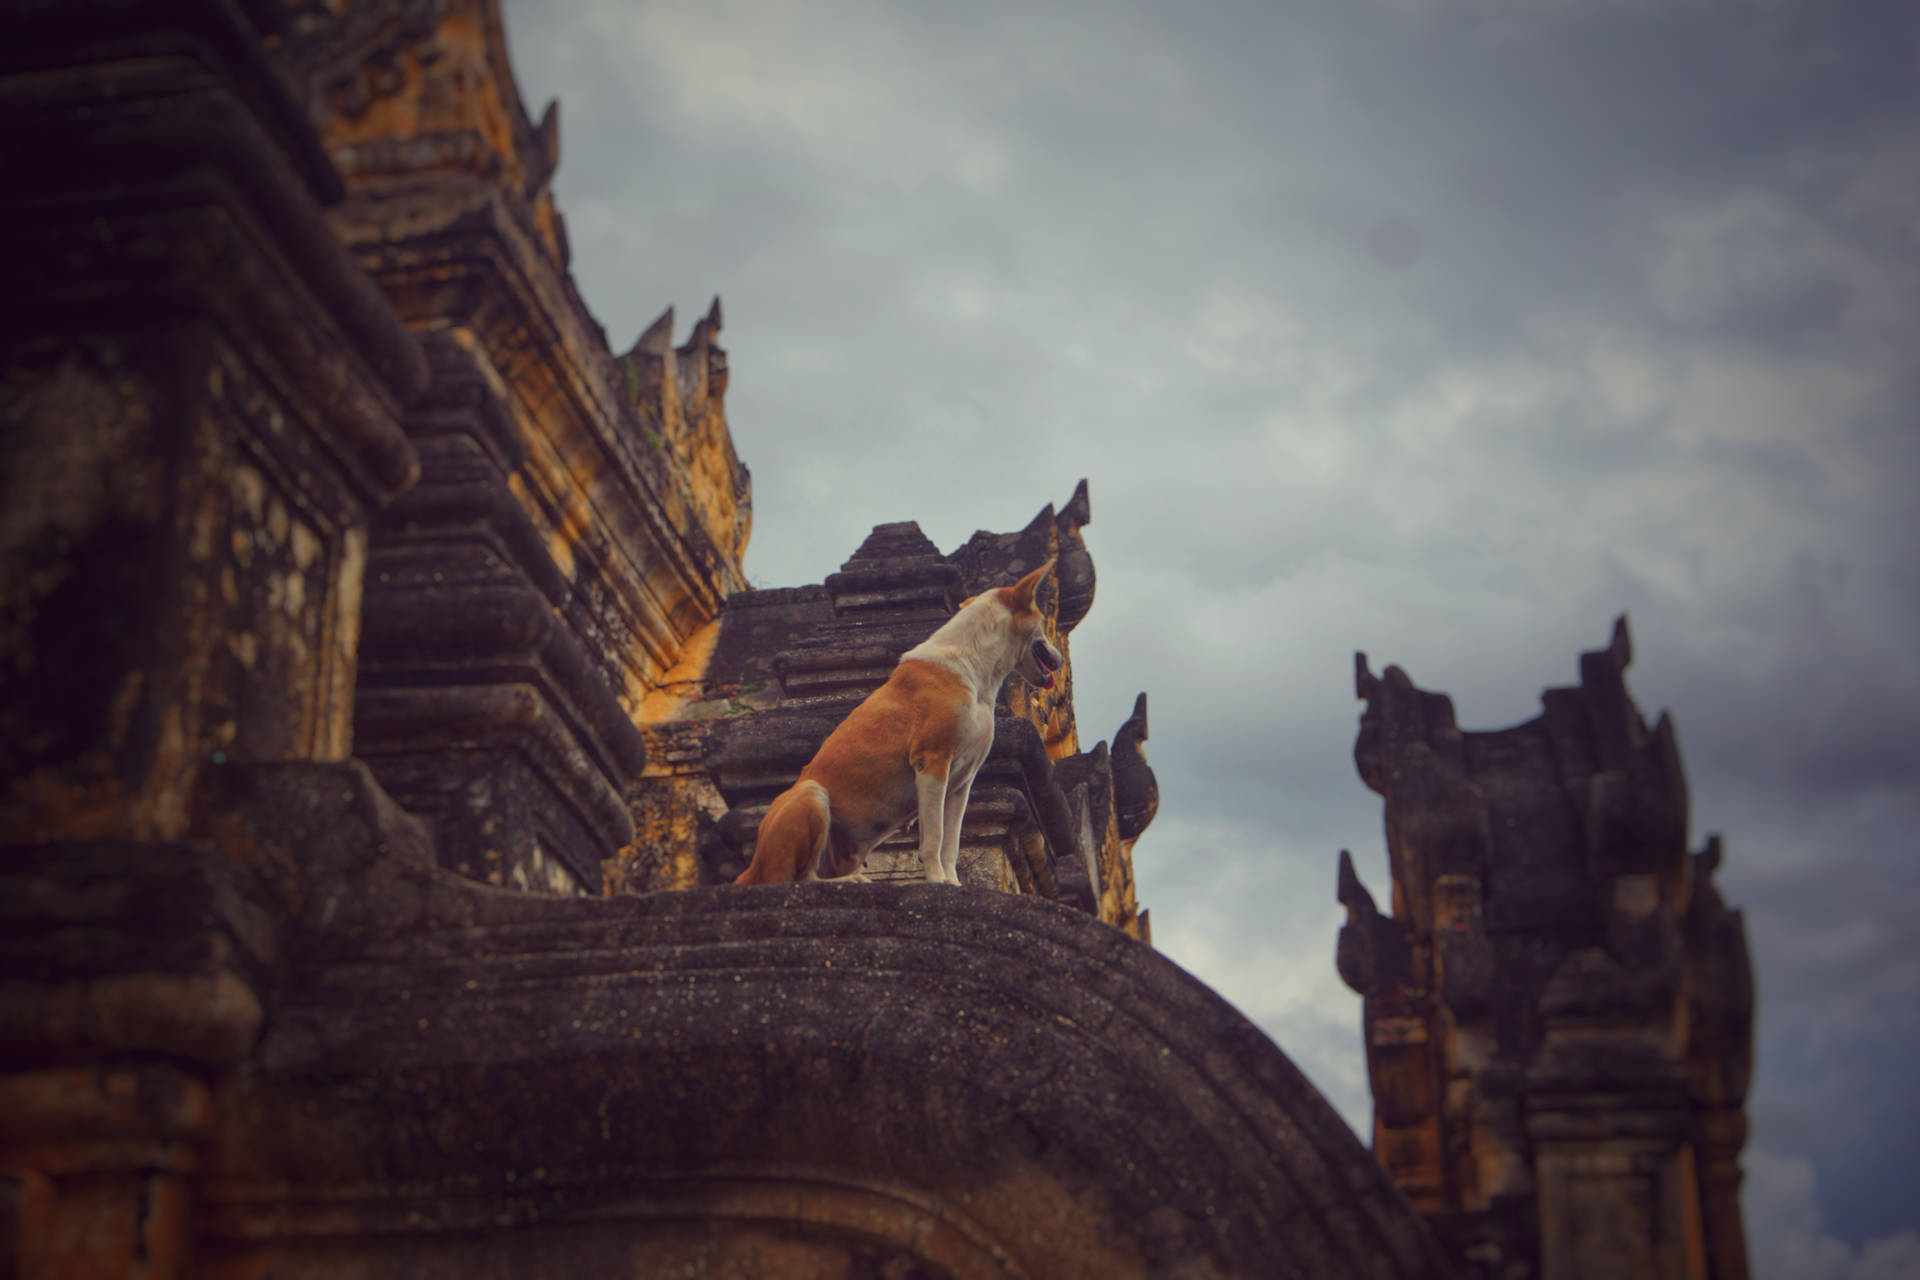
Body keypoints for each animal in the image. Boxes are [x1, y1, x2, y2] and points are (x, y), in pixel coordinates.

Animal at [733, 560, 1067, 890]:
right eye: (1042, 622)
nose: (1061, 660)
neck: (972, 664)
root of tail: (751, 869)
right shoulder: (932, 763)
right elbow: (934, 837)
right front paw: (937, 881)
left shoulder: (962, 783)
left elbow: (952, 843)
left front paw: (953, 882)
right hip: (811, 795)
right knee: (803, 878)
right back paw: (851, 880)